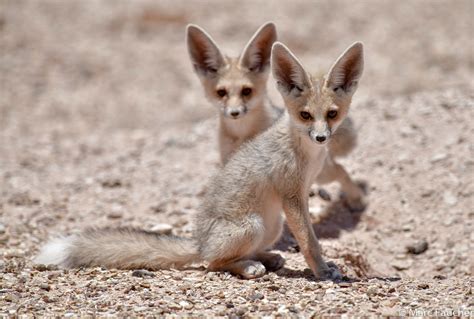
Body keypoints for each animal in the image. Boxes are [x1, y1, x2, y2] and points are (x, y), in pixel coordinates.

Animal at [187, 23, 364, 211]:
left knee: (340, 170)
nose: (234, 113)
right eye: (221, 93)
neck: (242, 134)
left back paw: (354, 198)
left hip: (323, 174)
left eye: (246, 91)